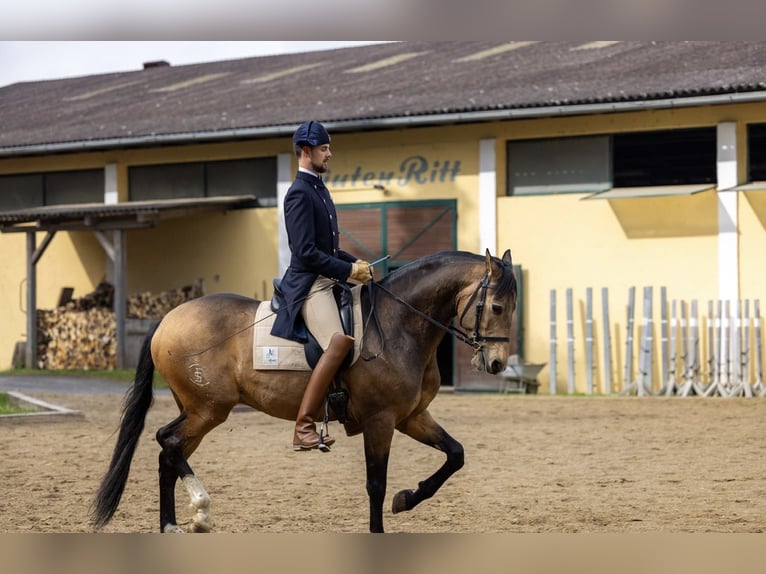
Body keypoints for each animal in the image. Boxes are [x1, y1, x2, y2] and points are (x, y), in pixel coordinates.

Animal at [93, 250, 520, 532]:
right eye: (497, 307)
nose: (497, 364)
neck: (399, 323)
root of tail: (169, 317)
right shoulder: (380, 420)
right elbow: (376, 485)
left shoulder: (412, 416)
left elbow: (455, 455)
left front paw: (407, 498)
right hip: (208, 409)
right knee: (168, 442)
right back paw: (200, 509)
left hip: (198, 411)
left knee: (169, 451)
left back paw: (177, 524)